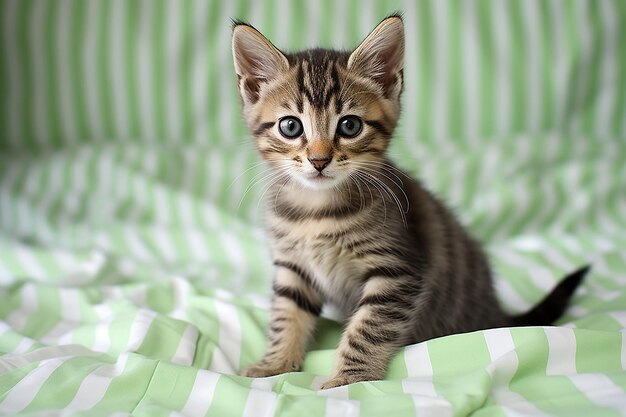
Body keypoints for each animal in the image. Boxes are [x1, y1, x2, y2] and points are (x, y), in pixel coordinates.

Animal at [229, 14, 584, 388]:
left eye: (350, 126)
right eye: (291, 127)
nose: (319, 160)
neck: (317, 210)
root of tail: (495, 311)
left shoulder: (398, 270)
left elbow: (367, 328)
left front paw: (349, 378)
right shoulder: (293, 268)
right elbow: (286, 315)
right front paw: (276, 362)